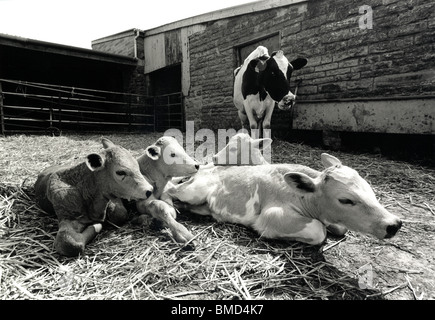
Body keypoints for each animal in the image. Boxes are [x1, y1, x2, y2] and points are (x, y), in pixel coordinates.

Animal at [167, 152, 402, 245]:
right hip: (193, 190)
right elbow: (319, 231)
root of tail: (207, 168)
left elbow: (340, 228)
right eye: (345, 200)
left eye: (368, 187)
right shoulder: (272, 216)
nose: (394, 224)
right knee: (171, 188)